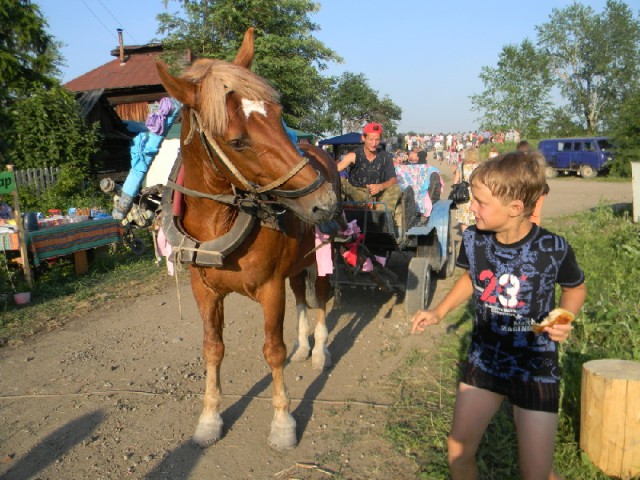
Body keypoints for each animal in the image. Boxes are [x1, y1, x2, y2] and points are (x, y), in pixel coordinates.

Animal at [156, 29, 340, 450]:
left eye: (278, 115)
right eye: (238, 141)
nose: (324, 202)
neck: (218, 225)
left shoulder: (270, 289)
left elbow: (273, 351)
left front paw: (283, 423)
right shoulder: (205, 292)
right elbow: (212, 349)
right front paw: (209, 418)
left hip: (320, 254)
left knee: (320, 297)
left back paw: (320, 351)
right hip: (297, 262)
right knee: (301, 295)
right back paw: (305, 346)